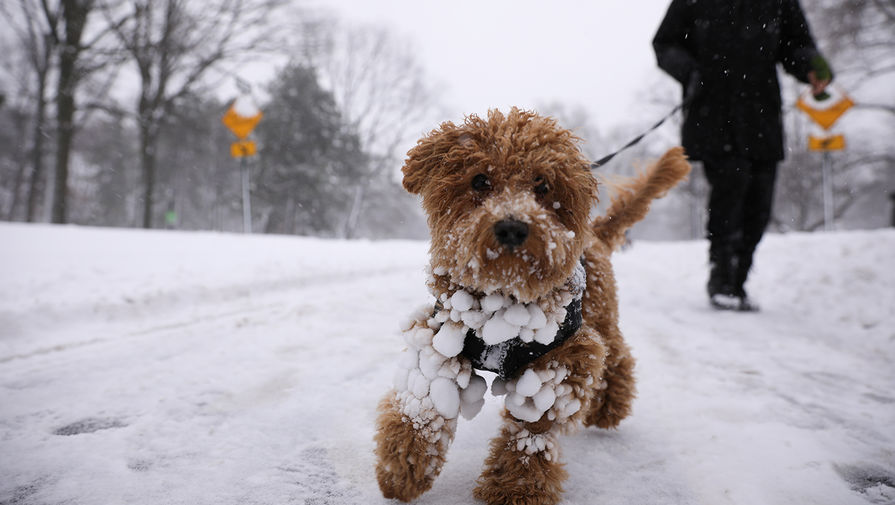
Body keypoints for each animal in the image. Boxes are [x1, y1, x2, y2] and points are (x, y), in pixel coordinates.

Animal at [374, 107, 688, 504]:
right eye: (479, 180)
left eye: (542, 185)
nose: (512, 227)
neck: (501, 301)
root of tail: (594, 233)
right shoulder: (440, 340)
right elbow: (422, 405)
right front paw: (403, 469)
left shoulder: (564, 358)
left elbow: (532, 430)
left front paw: (516, 487)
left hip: (601, 317)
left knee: (617, 356)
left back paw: (608, 407)